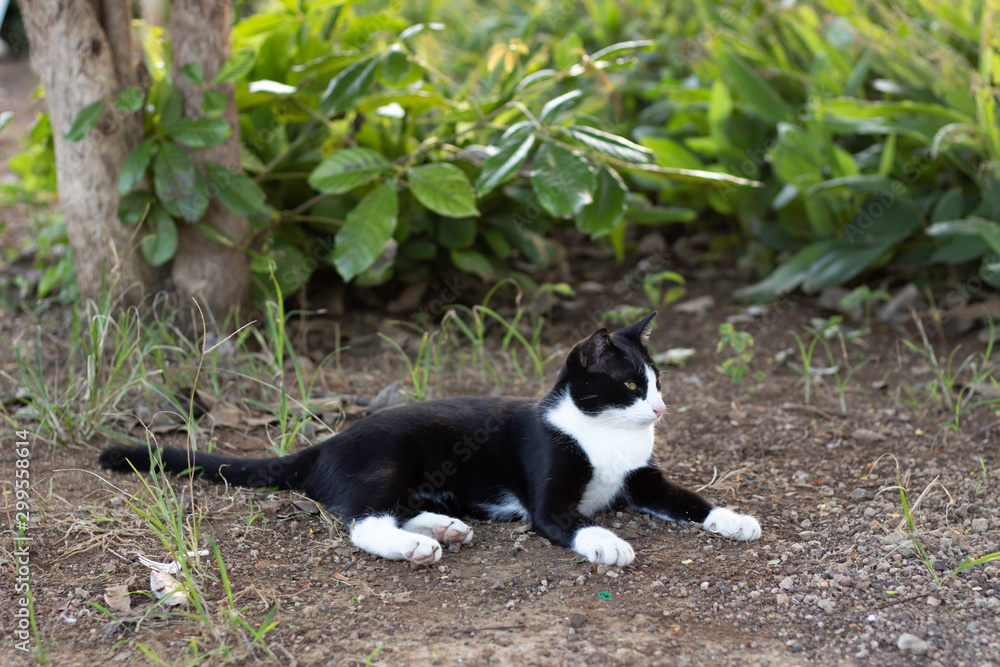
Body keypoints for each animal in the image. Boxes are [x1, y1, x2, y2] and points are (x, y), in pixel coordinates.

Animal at [99, 314, 756, 564]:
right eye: (629, 385)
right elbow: (567, 519)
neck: (606, 439)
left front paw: (735, 519)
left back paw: (444, 528)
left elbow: (686, 498)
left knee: (389, 508)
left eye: (658, 381)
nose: (662, 407)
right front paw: (608, 543)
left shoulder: (643, 478)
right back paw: (415, 546)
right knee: (363, 519)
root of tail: (326, 443)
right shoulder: (549, 492)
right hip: (390, 459)